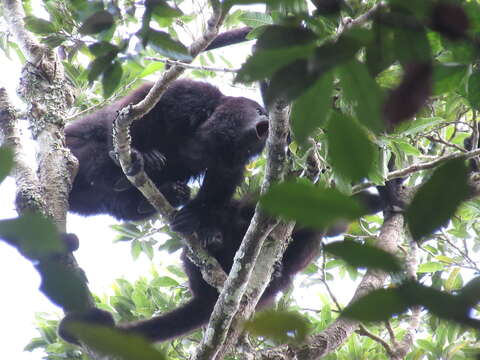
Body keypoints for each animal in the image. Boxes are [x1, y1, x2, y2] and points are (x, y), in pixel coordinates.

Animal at [66, 79, 270, 233]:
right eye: (258, 111)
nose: (267, 121)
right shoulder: (194, 93)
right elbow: (140, 105)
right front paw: (138, 152)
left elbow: (223, 180)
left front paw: (194, 215)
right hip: (74, 152)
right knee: (98, 157)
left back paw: (167, 195)